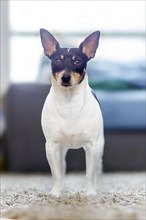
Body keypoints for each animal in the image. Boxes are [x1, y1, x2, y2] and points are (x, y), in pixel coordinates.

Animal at [39, 28, 104, 196]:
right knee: (62, 166)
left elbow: (89, 173)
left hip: (100, 146)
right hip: (61, 149)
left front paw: (91, 194)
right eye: (57, 61)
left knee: (98, 168)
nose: (65, 77)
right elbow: (56, 173)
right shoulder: (51, 146)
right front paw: (56, 193)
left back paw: (99, 187)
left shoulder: (92, 146)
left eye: (77, 61)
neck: (69, 103)